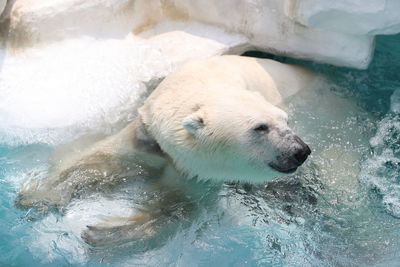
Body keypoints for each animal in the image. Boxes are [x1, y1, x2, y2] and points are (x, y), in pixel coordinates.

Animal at [18, 56, 312, 247]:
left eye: (285, 120)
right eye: (260, 127)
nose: (301, 150)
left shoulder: (197, 172)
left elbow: (178, 205)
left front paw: (105, 231)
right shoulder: (147, 138)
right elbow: (101, 159)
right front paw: (40, 196)